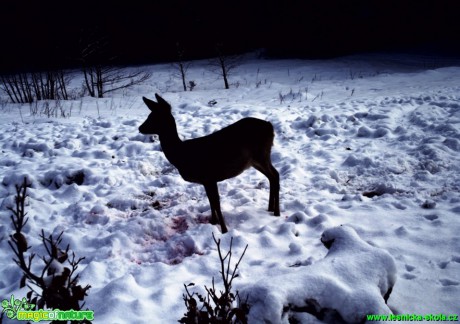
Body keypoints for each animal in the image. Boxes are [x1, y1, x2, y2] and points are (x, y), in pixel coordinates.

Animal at [138, 93, 278, 233]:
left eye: (155, 117)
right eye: (150, 115)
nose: (140, 128)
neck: (181, 155)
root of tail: (270, 126)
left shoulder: (210, 177)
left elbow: (216, 202)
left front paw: (224, 230)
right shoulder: (206, 180)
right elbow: (210, 201)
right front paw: (213, 222)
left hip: (261, 155)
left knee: (275, 175)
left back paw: (276, 213)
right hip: (255, 160)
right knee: (273, 175)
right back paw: (270, 209)